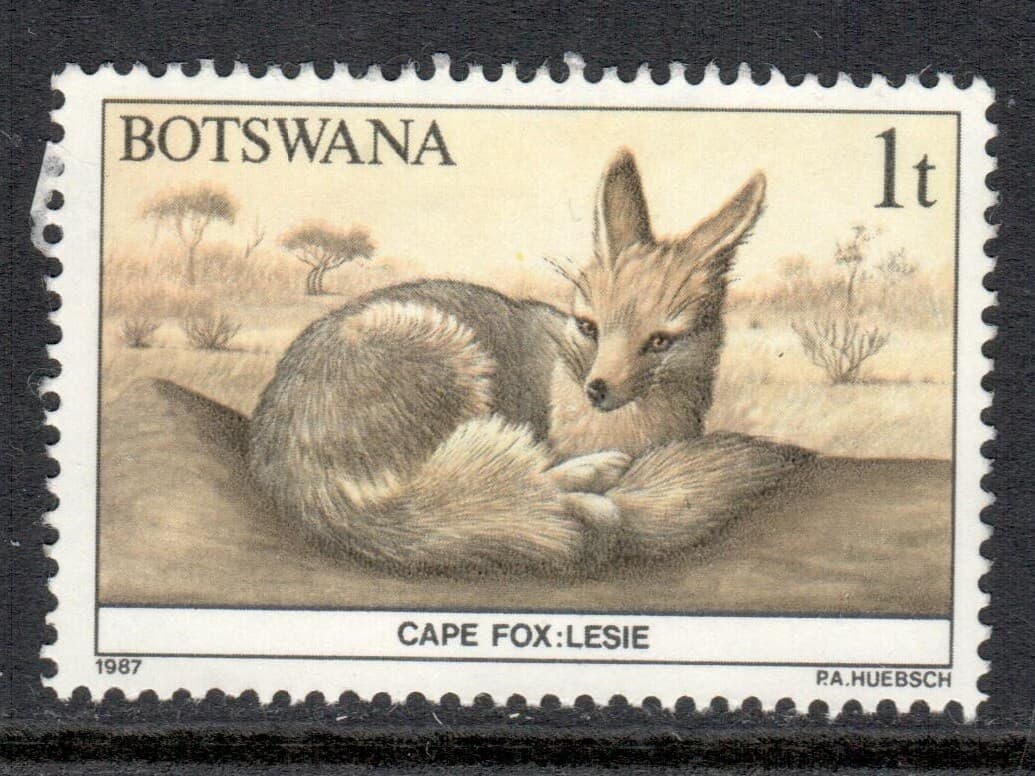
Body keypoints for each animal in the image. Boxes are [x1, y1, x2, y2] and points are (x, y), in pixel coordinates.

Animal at [247, 149, 809, 575]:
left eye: (658, 342)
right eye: (589, 326)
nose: (597, 388)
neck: (637, 429)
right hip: (452, 358)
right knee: (531, 496)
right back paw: (589, 487)